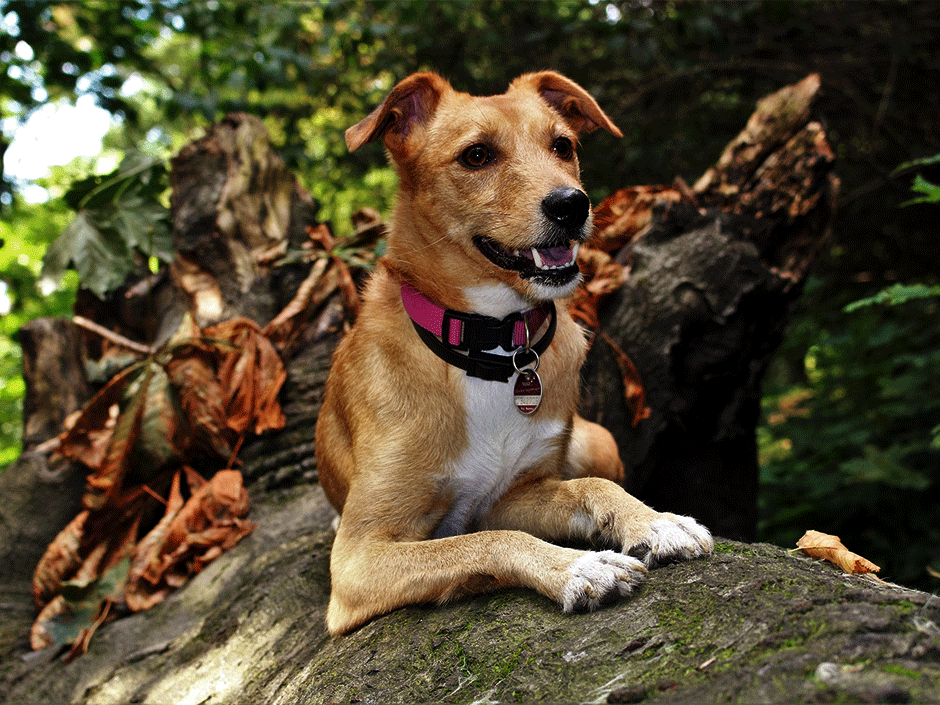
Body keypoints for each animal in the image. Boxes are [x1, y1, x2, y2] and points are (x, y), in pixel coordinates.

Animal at [316, 70, 712, 632]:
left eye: (562, 145)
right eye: (477, 155)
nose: (572, 204)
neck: (494, 347)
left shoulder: (509, 497)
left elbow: (587, 489)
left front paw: (654, 522)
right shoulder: (358, 559)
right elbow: (484, 542)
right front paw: (576, 567)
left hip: (596, 441)